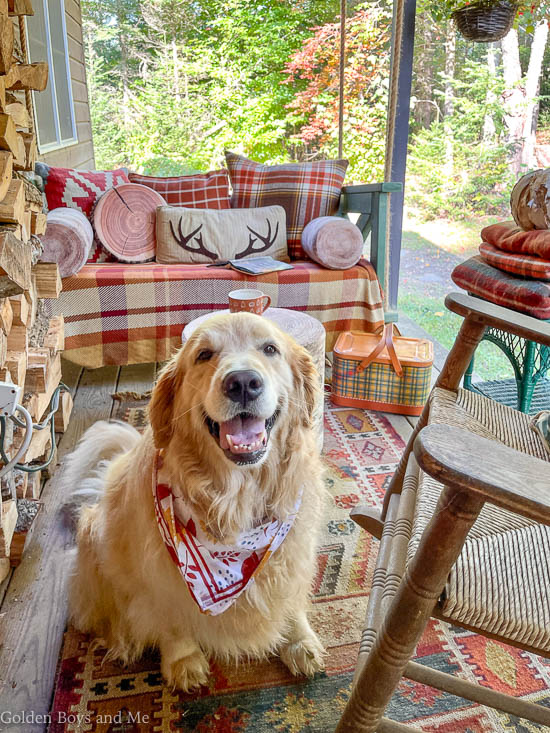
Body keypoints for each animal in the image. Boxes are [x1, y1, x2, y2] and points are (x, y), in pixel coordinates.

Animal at [67, 312, 330, 688]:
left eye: (270, 349)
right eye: (204, 355)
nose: (243, 382)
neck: (235, 502)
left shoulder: (292, 551)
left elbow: (291, 599)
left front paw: (299, 640)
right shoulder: (157, 576)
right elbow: (171, 620)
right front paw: (184, 660)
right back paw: (124, 640)